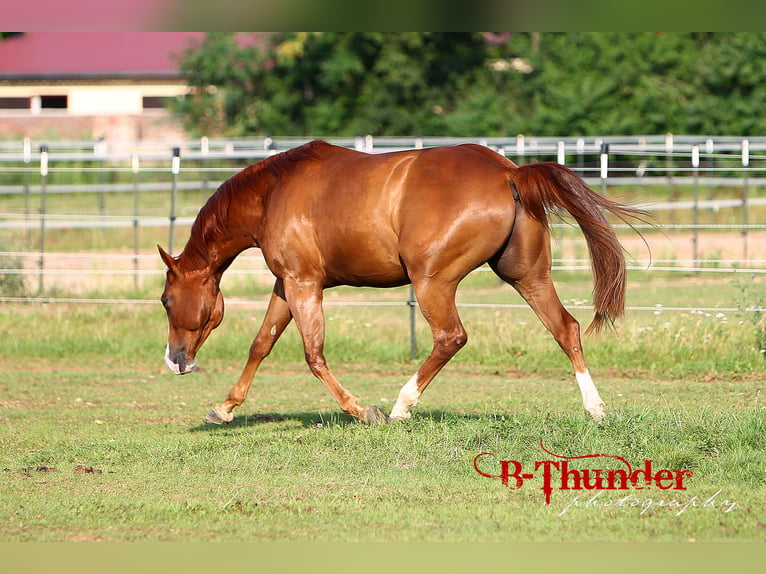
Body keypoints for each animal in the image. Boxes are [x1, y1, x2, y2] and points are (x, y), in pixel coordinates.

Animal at [159, 139, 641, 425]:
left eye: (165, 299)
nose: (175, 361)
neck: (275, 192)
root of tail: (508, 172)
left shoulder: (302, 284)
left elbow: (313, 355)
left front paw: (362, 410)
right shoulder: (286, 284)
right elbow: (261, 343)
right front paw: (224, 407)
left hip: (432, 283)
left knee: (451, 337)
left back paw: (400, 406)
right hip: (527, 276)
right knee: (566, 328)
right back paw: (595, 408)